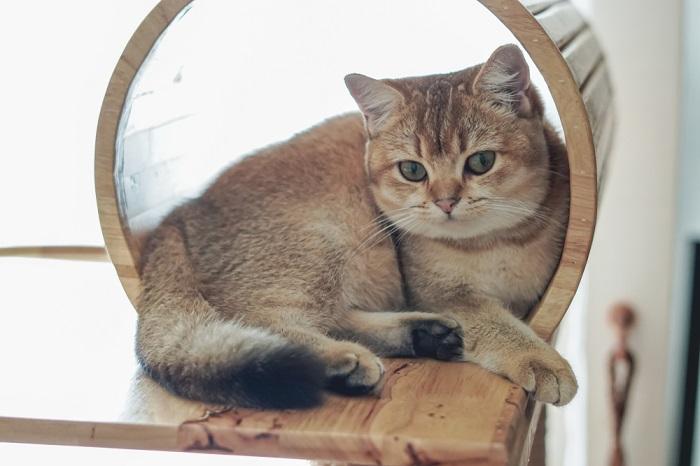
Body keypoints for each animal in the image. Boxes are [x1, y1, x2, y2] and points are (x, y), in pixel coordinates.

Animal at [135, 42, 576, 408]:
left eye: (481, 162)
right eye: (412, 170)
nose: (445, 201)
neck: (492, 241)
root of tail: (181, 213)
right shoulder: (443, 294)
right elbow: (494, 322)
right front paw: (540, 360)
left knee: (334, 317)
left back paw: (422, 334)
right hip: (316, 246)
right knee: (264, 319)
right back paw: (342, 360)